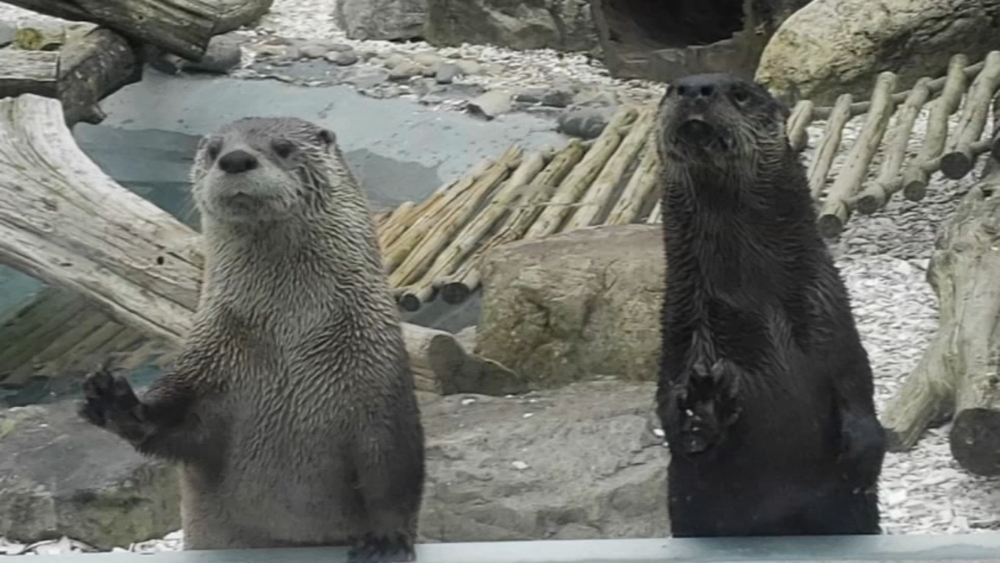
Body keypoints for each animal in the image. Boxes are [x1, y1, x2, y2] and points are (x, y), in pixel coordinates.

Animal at [79, 117, 425, 562]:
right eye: (213, 150)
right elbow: (172, 427)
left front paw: (386, 542)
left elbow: (392, 475)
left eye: (282, 147)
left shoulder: (378, 379)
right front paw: (115, 403)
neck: (289, 338)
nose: (236, 159)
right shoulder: (209, 360)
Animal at [653, 74, 885, 536]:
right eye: (671, 89)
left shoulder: (830, 311)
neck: (752, 297)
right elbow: (670, 406)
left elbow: (857, 380)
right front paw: (705, 406)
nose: (694, 88)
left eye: (740, 93)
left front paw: (862, 456)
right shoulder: (683, 325)